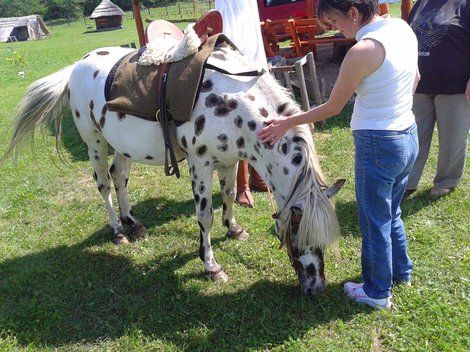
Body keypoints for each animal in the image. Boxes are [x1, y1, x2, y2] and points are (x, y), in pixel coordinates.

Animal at [1, 42, 344, 296]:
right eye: (299, 233)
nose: (316, 287)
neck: (233, 102)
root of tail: (77, 66)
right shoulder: (200, 163)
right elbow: (204, 216)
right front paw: (211, 265)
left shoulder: (230, 160)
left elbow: (230, 195)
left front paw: (234, 229)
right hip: (94, 142)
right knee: (103, 184)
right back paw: (118, 231)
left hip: (123, 145)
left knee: (119, 177)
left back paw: (133, 223)